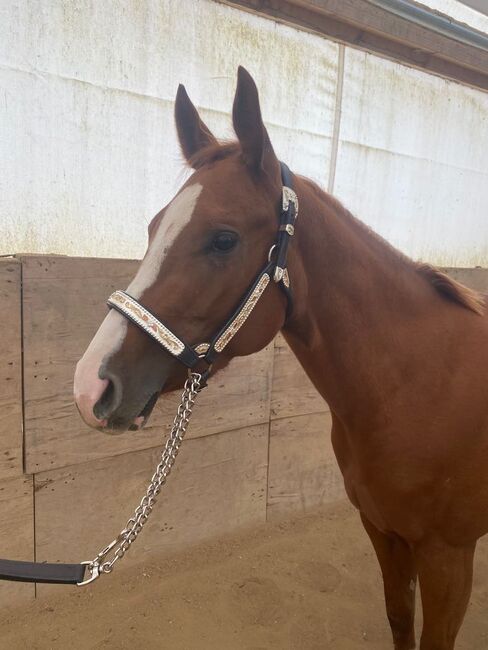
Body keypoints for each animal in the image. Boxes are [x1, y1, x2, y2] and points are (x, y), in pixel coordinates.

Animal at [74, 68, 488, 644]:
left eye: (223, 239)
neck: (420, 388)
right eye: (154, 228)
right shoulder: (384, 532)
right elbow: (398, 619)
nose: (90, 385)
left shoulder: (449, 556)